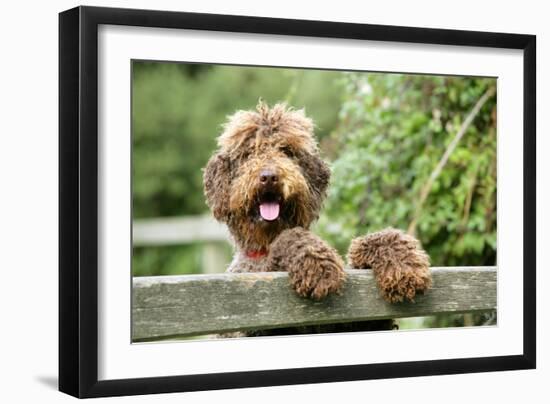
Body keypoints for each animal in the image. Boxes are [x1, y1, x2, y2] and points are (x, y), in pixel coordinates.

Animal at [205, 102, 434, 334]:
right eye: (248, 153)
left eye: (287, 151)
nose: (269, 177)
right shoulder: (257, 312)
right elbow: (291, 237)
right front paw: (317, 265)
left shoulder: (362, 320)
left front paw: (402, 262)